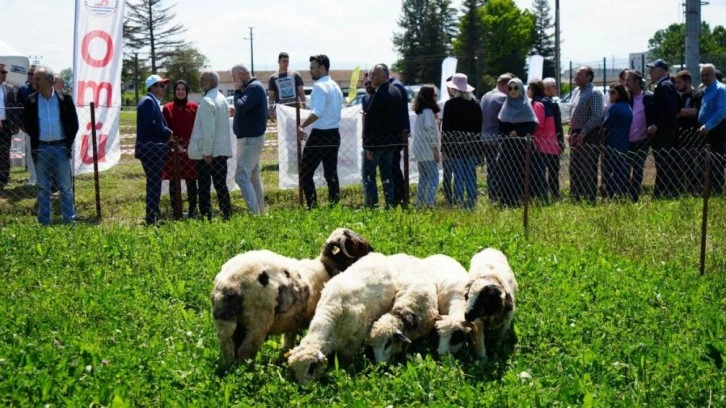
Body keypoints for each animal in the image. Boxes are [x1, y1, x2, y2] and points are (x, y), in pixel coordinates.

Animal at [208, 228, 372, 368]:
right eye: (358, 245)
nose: (372, 251)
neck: (326, 269)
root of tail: (230, 284)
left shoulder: (293, 321)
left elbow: (288, 339)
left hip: (226, 326)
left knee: (229, 349)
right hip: (257, 321)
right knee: (245, 352)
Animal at [288, 252, 416, 382]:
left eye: (311, 367)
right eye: (295, 370)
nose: (305, 387)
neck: (330, 313)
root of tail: (378, 255)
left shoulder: (356, 337)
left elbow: (346, 357)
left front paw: (345, 371)